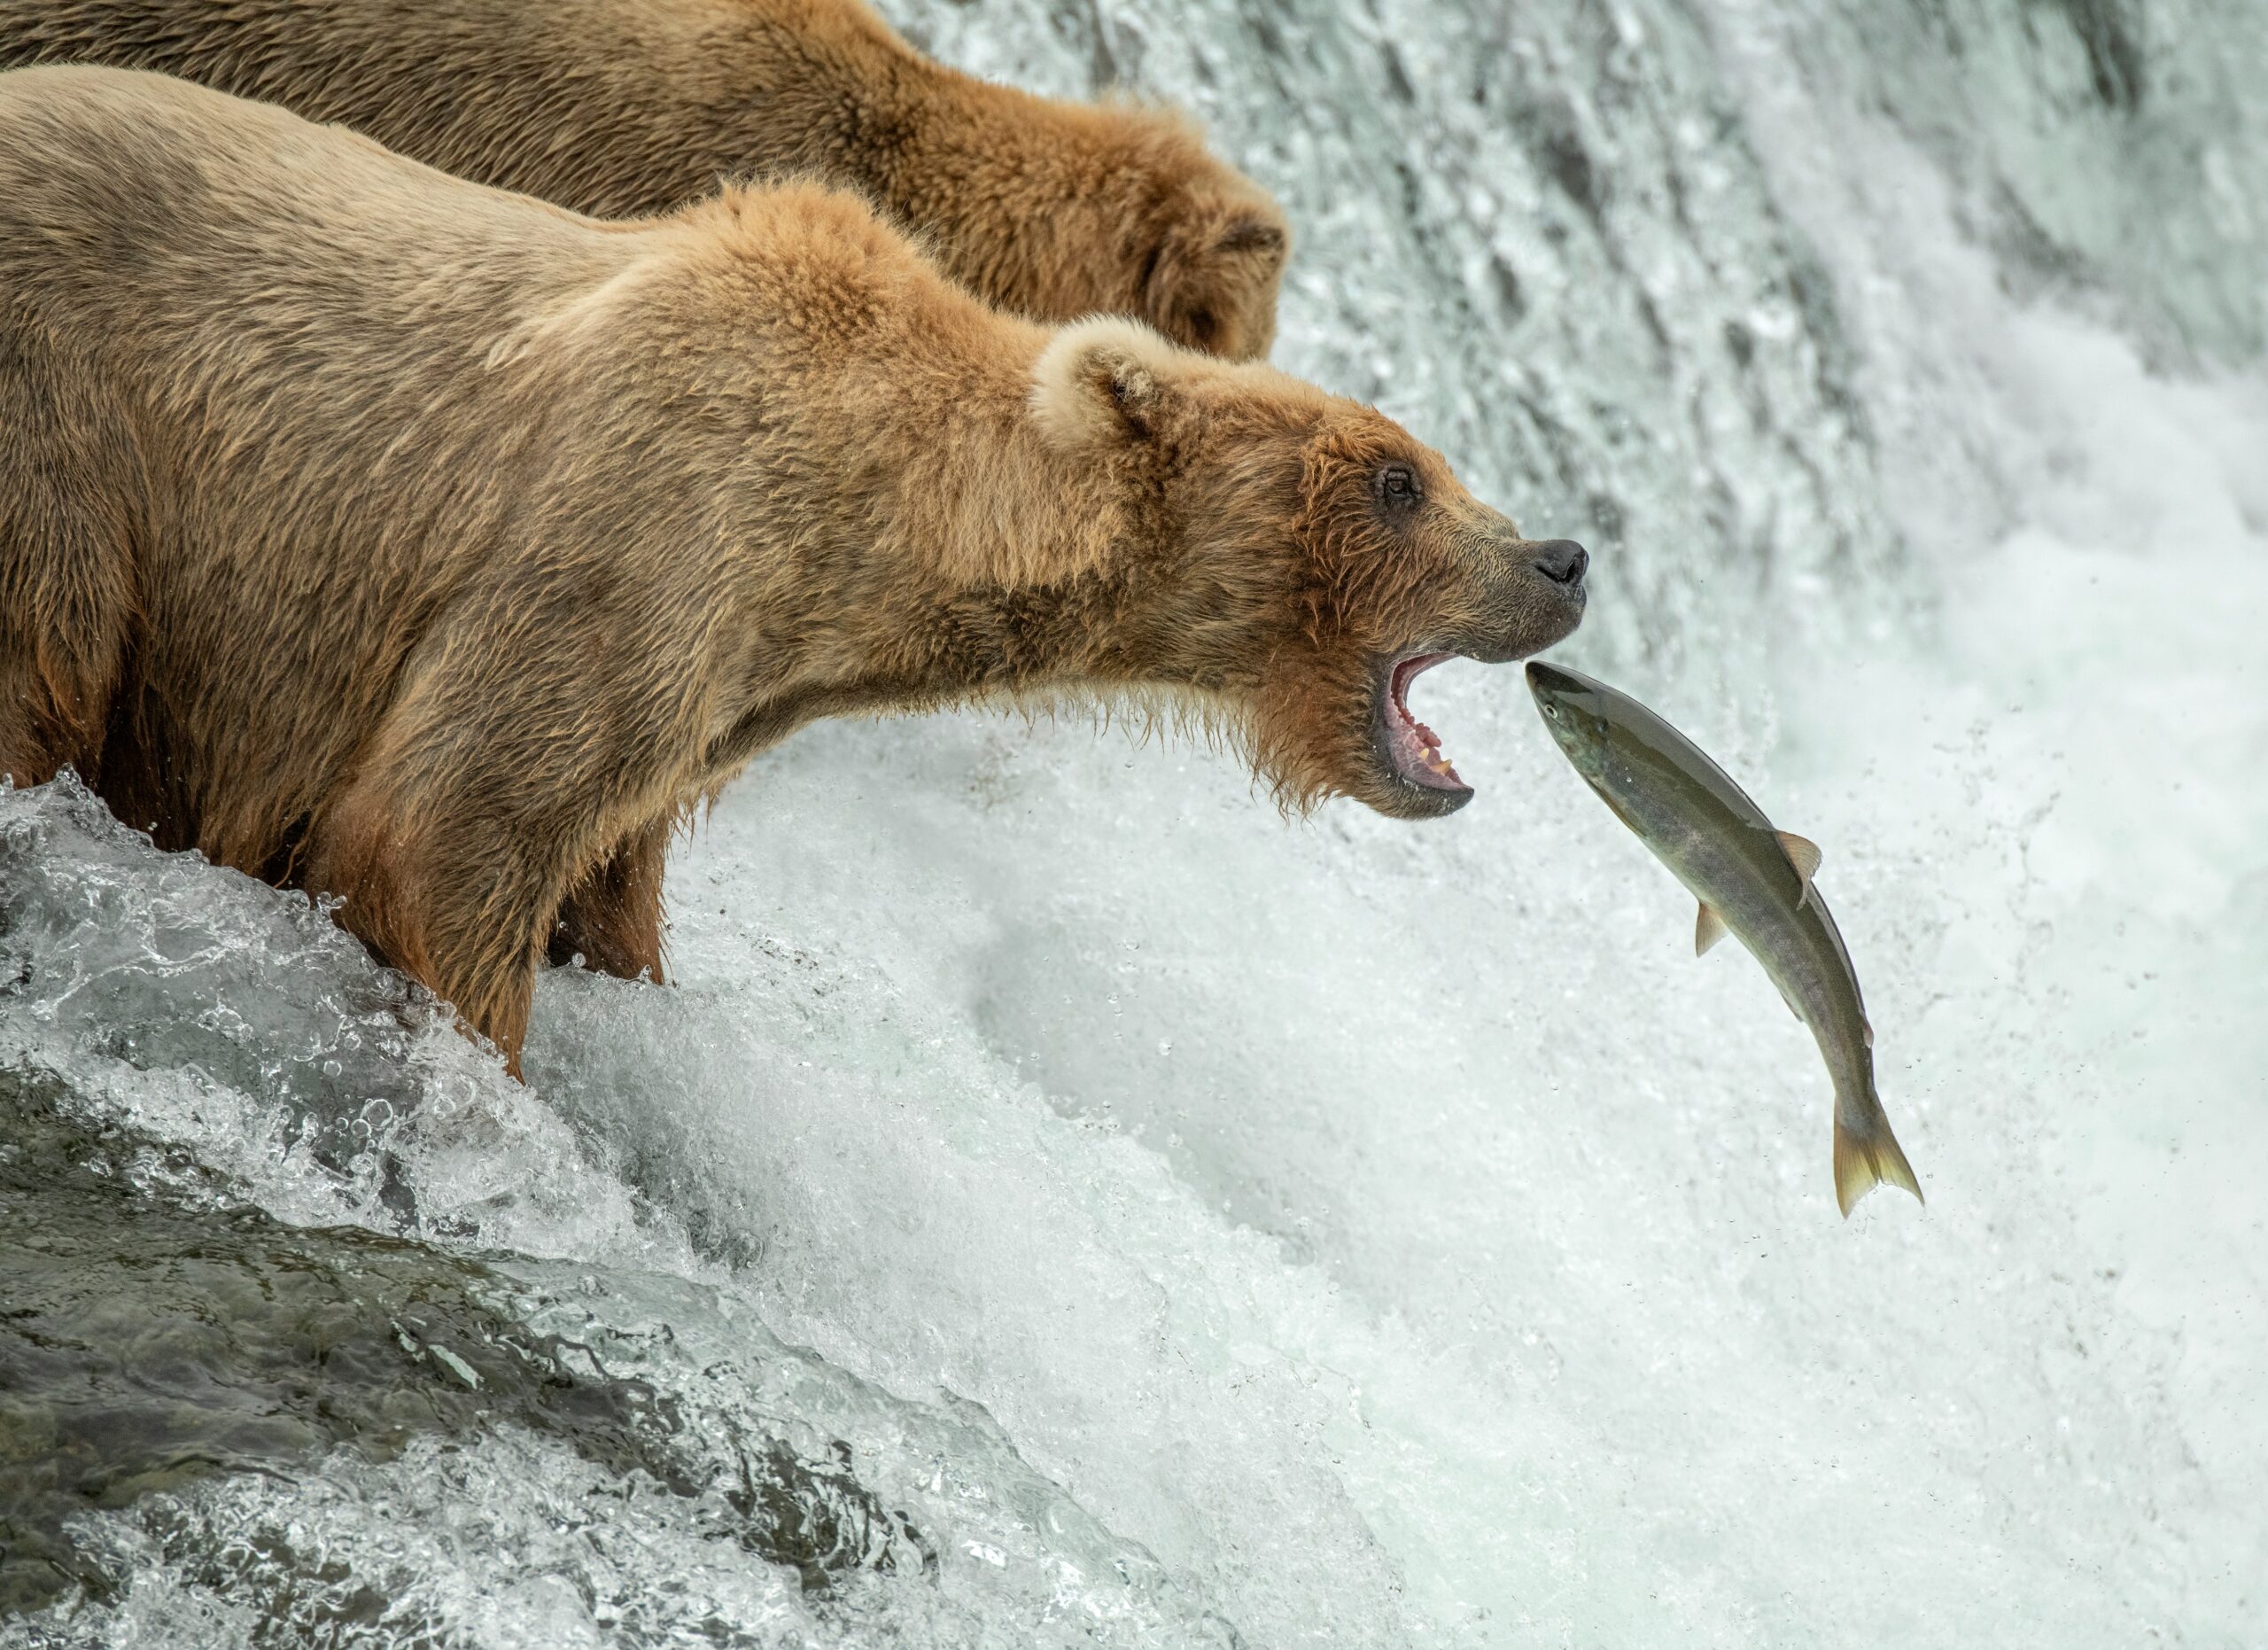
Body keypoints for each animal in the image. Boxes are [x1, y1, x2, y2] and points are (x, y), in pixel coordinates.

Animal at [0, 67, 1588, 1070]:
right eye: (1398, 479)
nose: (1562, 556)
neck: (854, 535)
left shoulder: (703, 697)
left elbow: (603, 882)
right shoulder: (631, 543)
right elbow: (441, 832)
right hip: (66, 439)